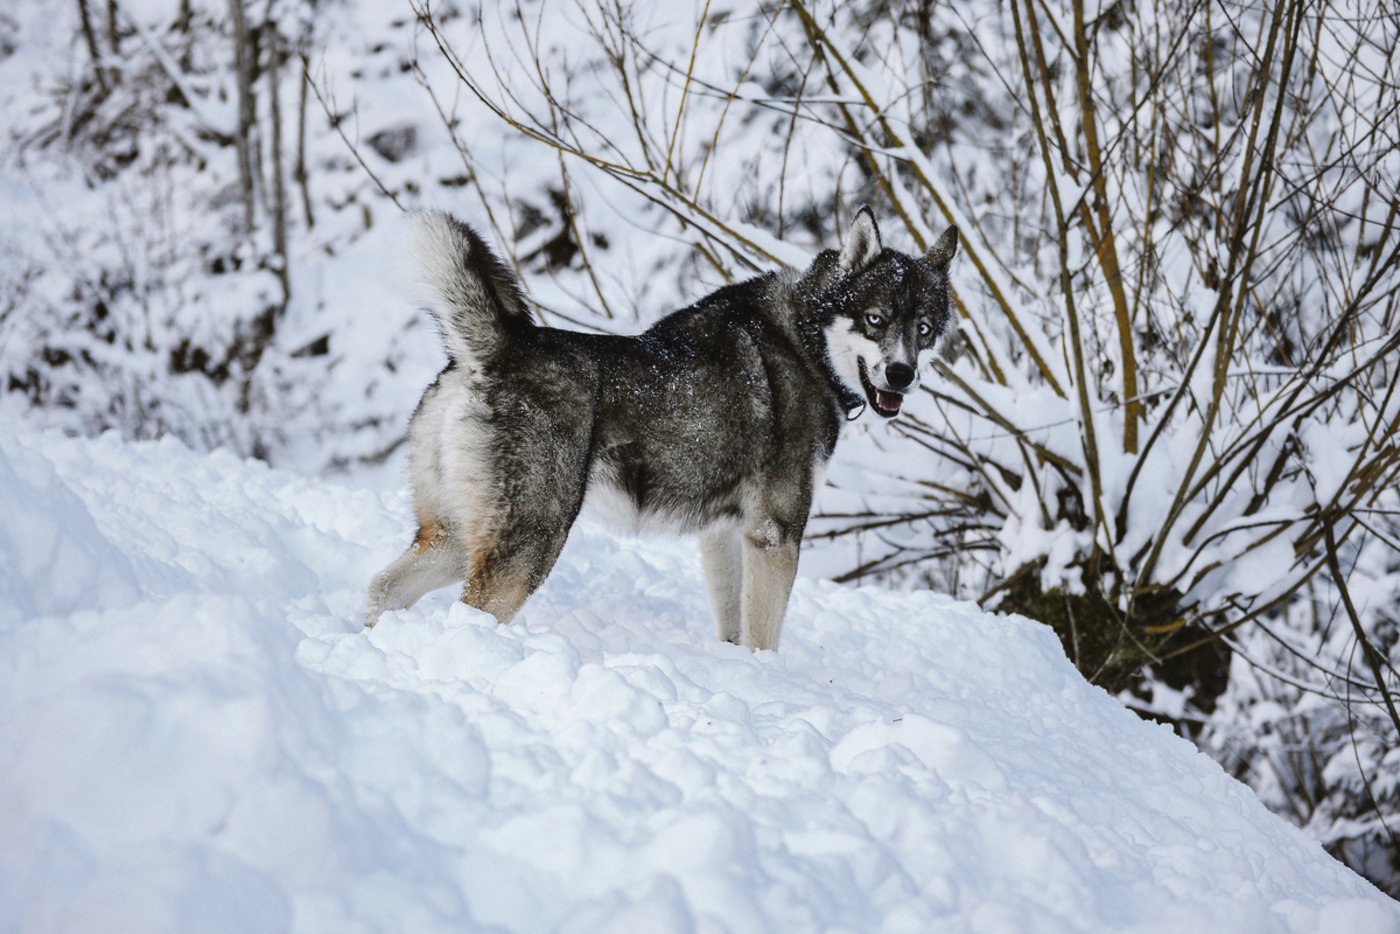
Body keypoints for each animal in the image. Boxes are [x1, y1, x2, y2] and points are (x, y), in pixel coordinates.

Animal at [363, 207, 958, 650]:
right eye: (876, 319)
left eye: (924, 329)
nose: (901, 375)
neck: (806, 344)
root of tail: (501, 346)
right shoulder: (775, 534)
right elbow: (764, 639)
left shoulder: (724, 534)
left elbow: (734, 629)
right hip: (528, 546)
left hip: (454, 538)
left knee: (382, 587)